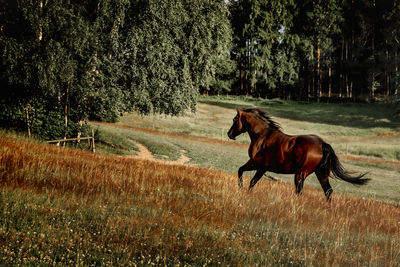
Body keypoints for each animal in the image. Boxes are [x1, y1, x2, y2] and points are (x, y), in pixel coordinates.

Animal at [227, 108, 370, 202]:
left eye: (234, 119)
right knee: (328, 191)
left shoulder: (258, 165)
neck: (262, 135)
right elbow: (246, 176)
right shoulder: (259, 167)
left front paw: (242, 189)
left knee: (300, 191)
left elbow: (247, 177)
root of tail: (322, 144)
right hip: (321, 174)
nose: (229, 134)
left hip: (300, 174)